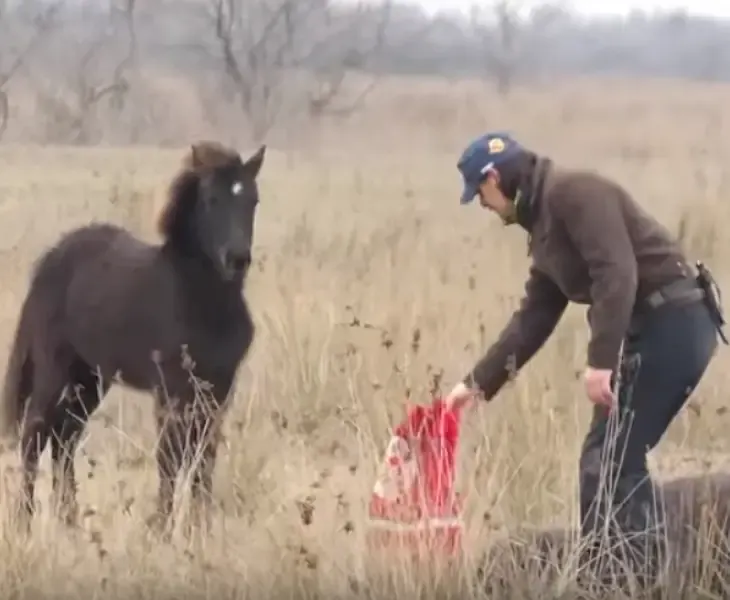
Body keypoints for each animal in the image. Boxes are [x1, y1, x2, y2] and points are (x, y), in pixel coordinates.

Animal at [0, 141, 264, 536]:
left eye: (253, 200)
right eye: (211, 200)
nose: (237, 259)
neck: (200, 298)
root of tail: (51, 258)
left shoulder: (217, 389)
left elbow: (204, 456)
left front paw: (199, 529)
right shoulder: (170, 388)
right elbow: (170, 457)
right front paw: (161, 529)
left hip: (90, 379)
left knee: (65, 438)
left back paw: (70, 521)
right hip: (54, 370)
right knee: (35, 434)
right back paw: (24, 520)